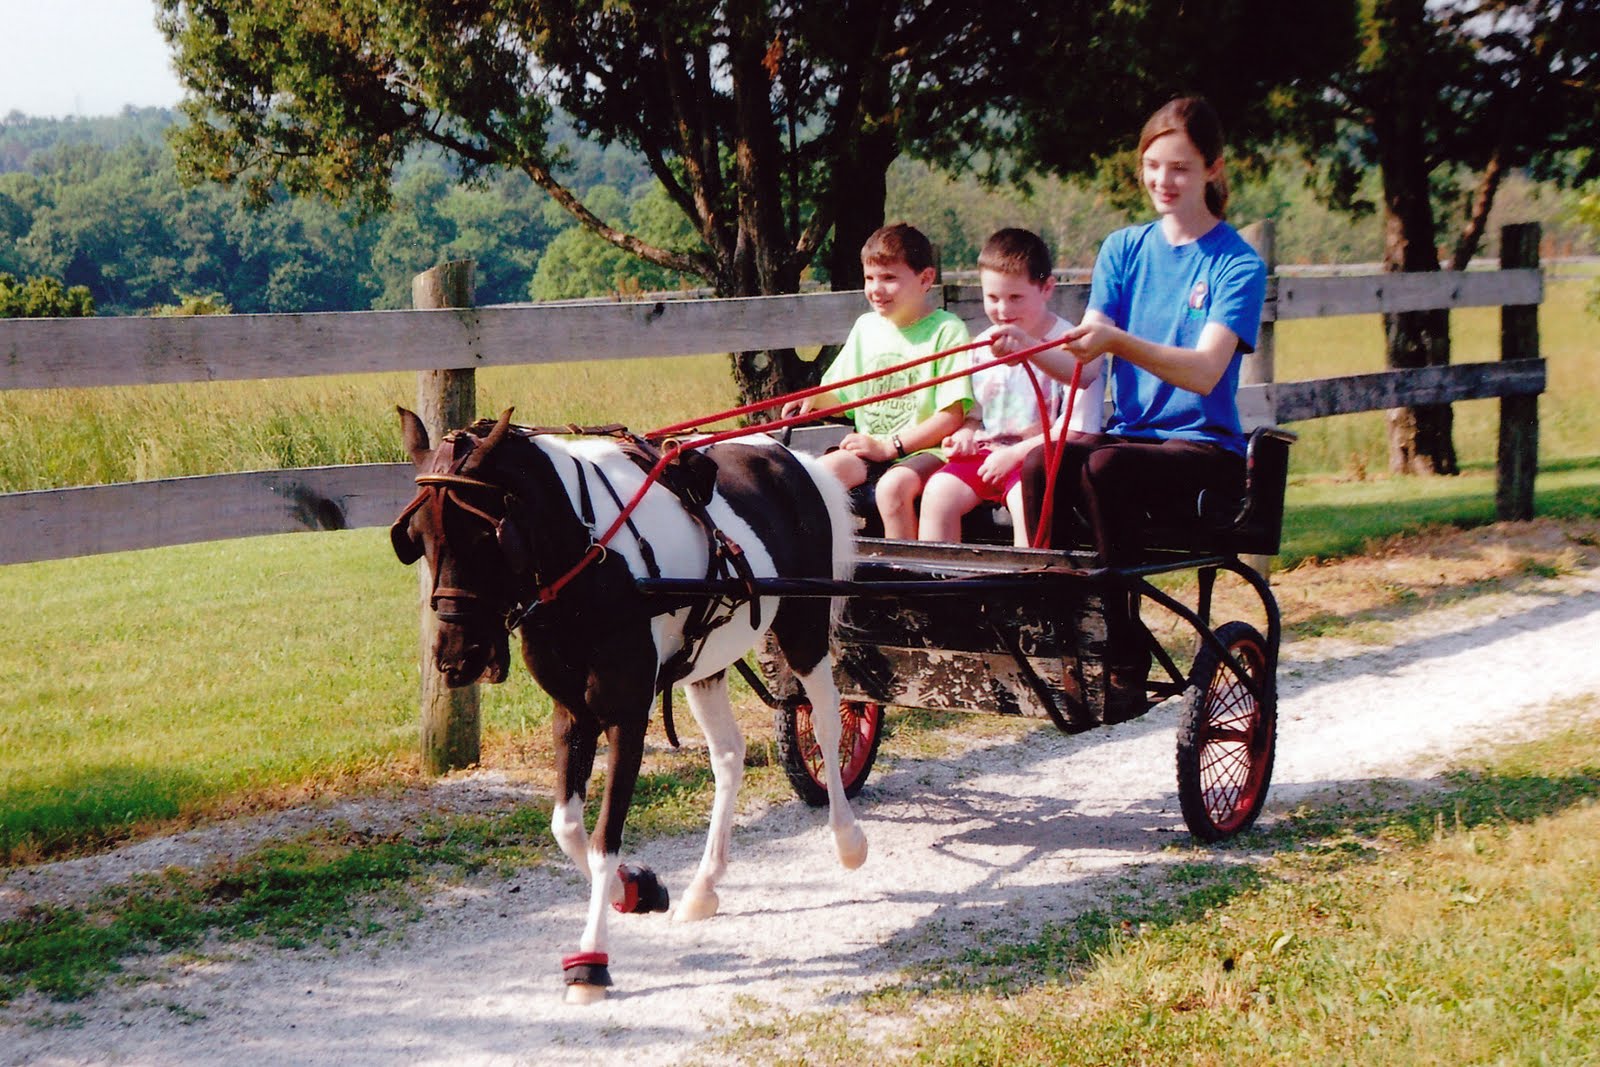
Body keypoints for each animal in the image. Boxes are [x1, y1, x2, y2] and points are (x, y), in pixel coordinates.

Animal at [389, 407, 867, 1003]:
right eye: (417, 537)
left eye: (483, 534)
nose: (457, 658)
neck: (592, 559)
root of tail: (789, 456)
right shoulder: (571, 714)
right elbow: (566, 828)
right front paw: (637, 889)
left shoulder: (627, 715)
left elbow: (602, 838)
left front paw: (591, 960)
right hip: (705, 664)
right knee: (728, 757)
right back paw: (704, 885)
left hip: (804, 630)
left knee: (825, 722)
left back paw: (848, 838)